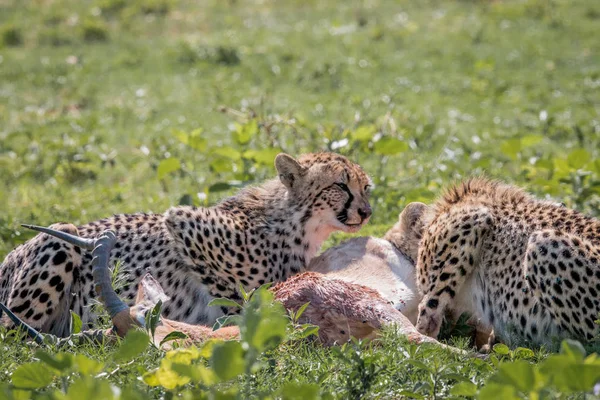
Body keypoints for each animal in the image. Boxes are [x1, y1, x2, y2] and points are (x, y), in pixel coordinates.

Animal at [0, 153, 372, 338]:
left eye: (366, 187)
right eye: (340, 185)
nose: (367, 211)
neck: (297, 222)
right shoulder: (183, 220)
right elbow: (234, 297)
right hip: (59, 236)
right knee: (13, 336)